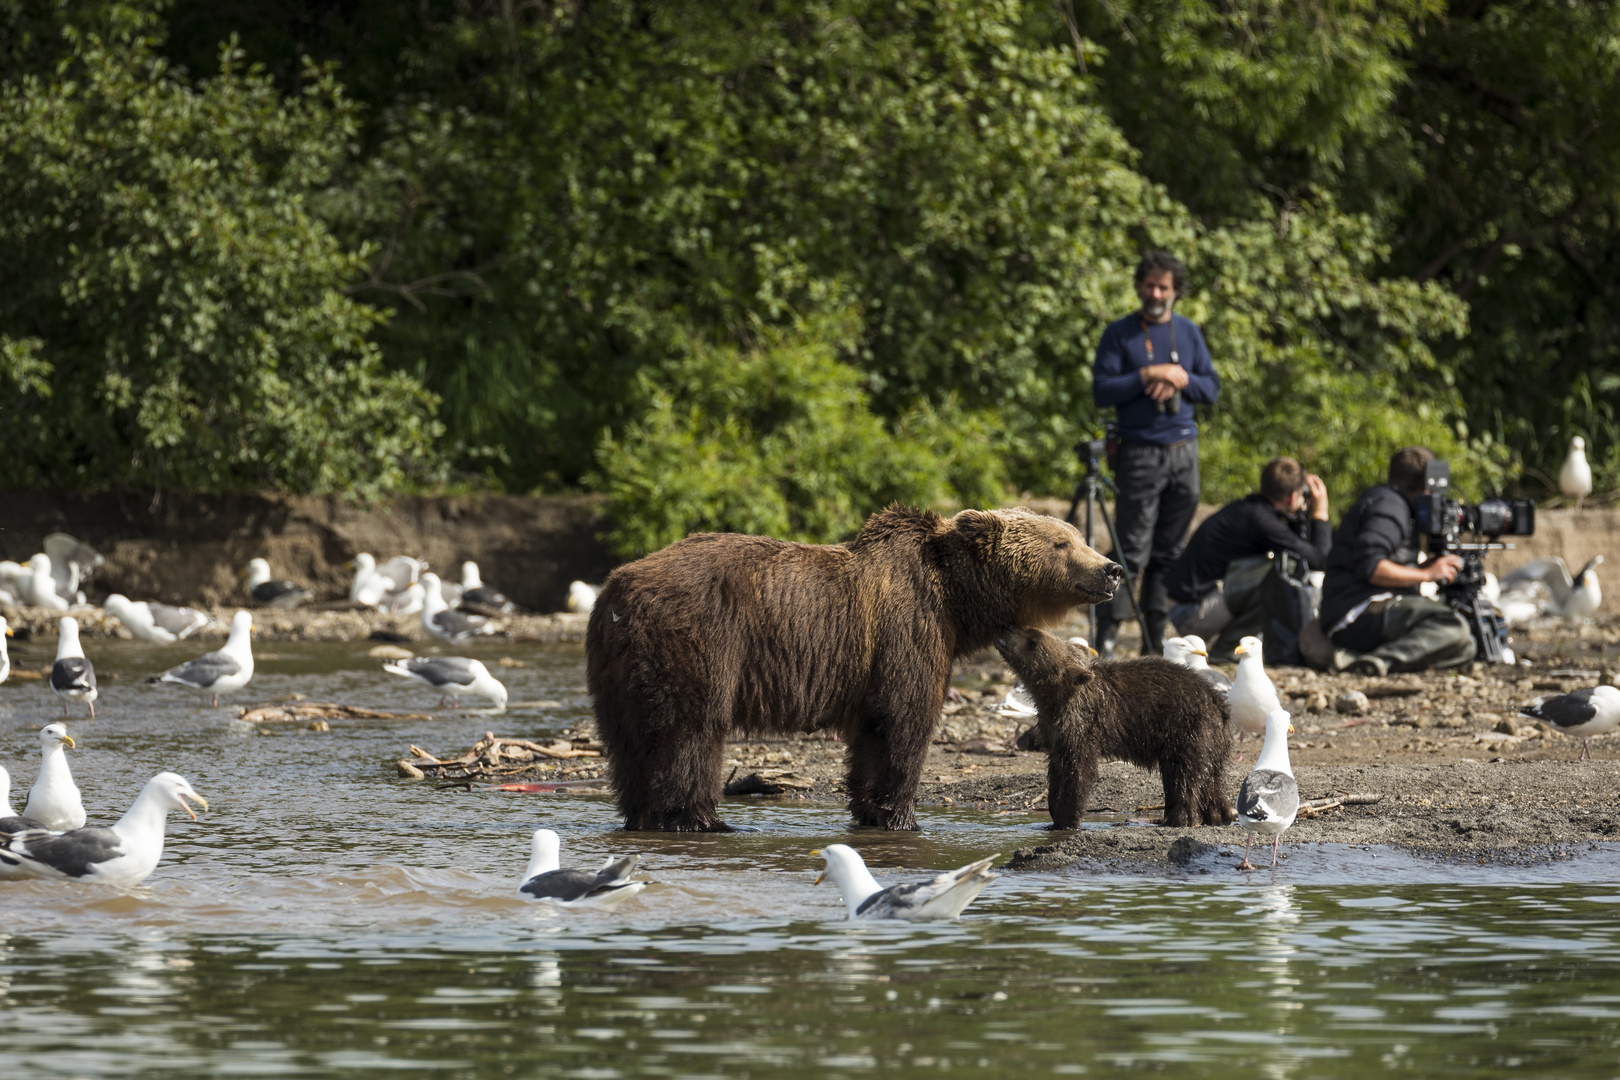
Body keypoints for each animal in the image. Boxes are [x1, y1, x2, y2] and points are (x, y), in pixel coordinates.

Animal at [586, 508, 1127, 835]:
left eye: (1079, 537)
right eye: (1061, 543)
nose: (1112, 568)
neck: (958, 602)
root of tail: (616, 589)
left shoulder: (881, 659)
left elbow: (873, 733)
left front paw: (871, 810)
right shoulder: (908, 629)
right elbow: (904, 720)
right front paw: (903, 816)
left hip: (620, 667)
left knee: (630, 743)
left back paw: (643, 814)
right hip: (698, 640)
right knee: (691, 731)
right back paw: (702, 819)